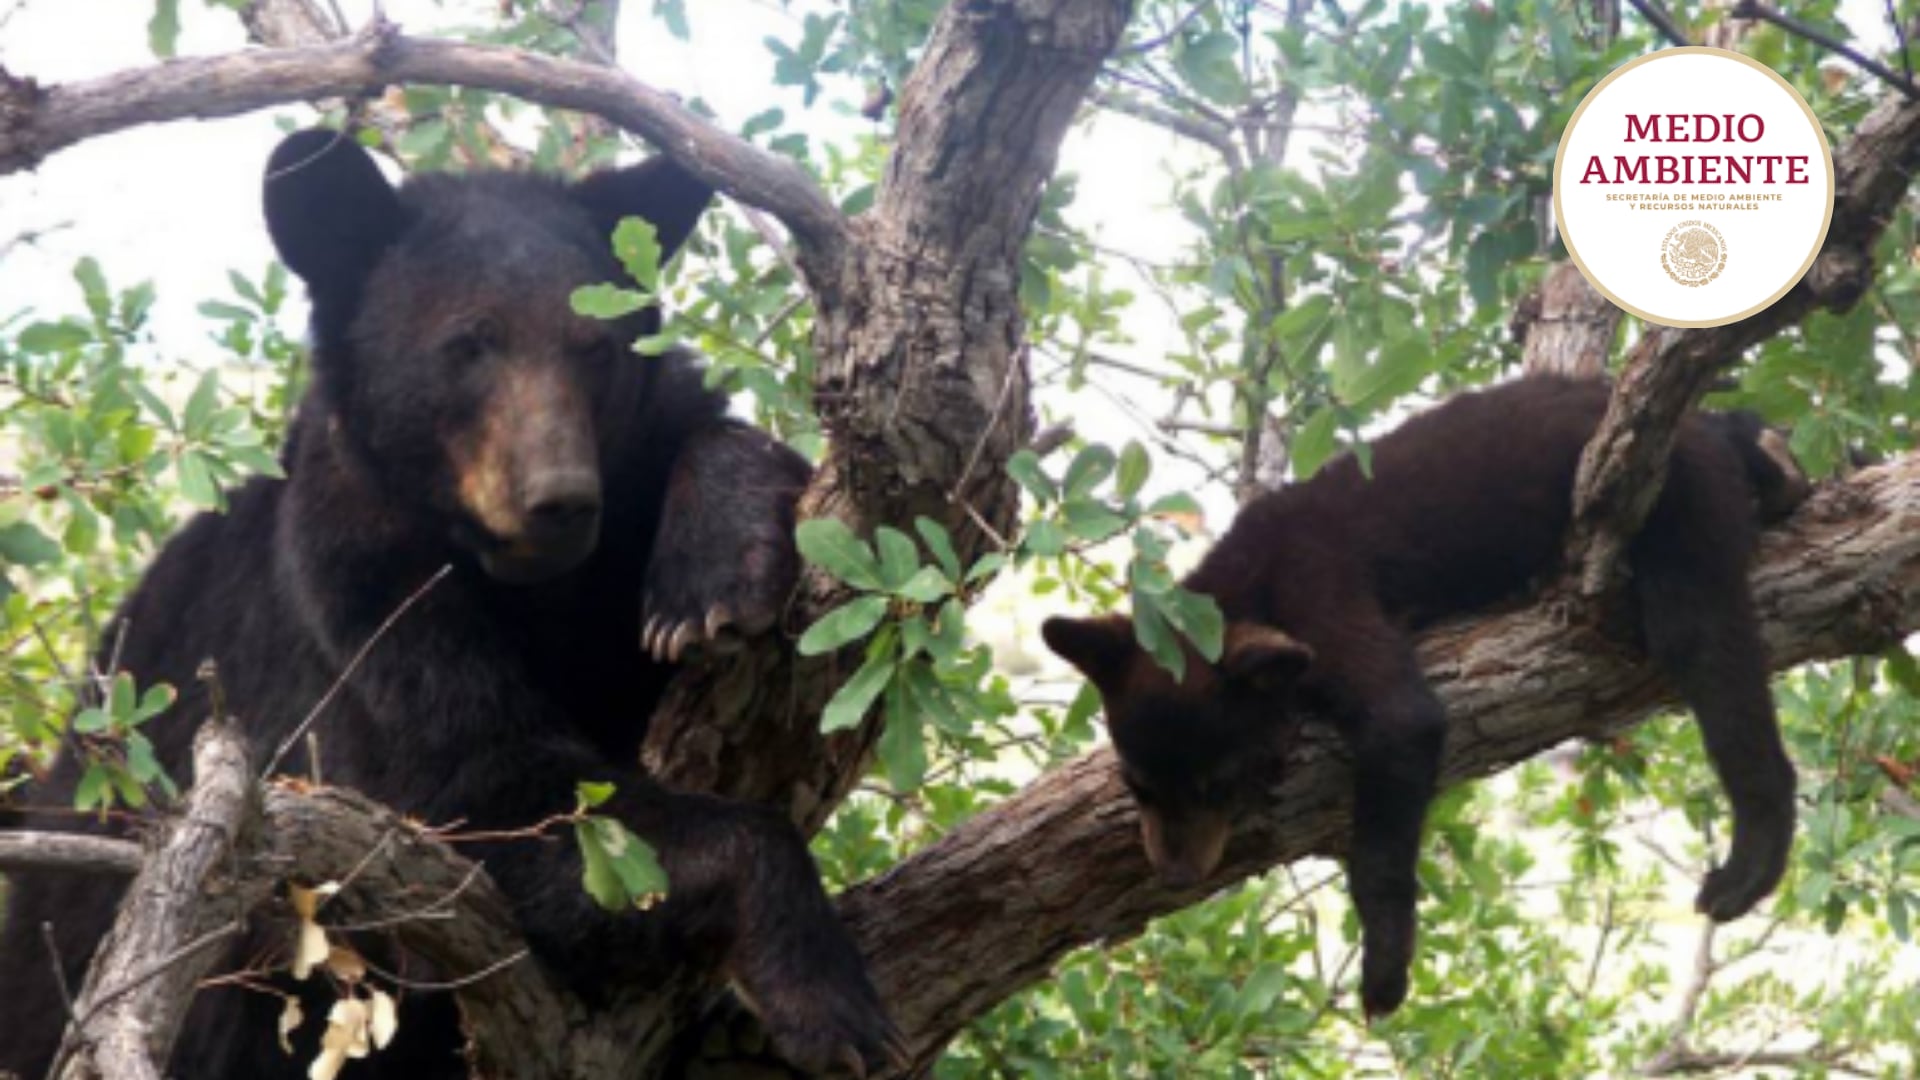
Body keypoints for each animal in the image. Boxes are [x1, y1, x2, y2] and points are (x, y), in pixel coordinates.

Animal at [0, 129, 897, 1077]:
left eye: (596, 347)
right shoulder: (357, 595)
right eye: (469, 344)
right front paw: (828, 996)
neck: (531, 584)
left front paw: (713, 581)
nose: (561, 499)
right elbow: (489, 788)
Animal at [1042, 375, 1801, 1019]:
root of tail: (1692, 421)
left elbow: (1399, 731)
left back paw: (1750, 861)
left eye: (1216, 785)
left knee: (1705, 642)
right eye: (1137, 787)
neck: (1242, 585)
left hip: (1681, 504)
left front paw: (1384, 970)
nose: (1175, 875)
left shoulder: (1322, 595)